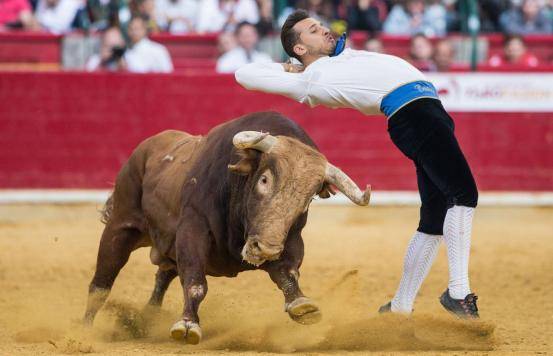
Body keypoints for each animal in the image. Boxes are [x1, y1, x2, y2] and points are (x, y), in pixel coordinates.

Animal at [82, 112, 368, 344]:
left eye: (307, 199)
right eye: (264, 180)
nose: (265, 249)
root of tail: (146, 148)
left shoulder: (290, 240)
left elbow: (287, 274)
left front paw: (302, 305)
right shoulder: (193, 229)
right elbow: (195, 282)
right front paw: (187, 325)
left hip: (167, 245)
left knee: (163, 275)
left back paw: (147, 319)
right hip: (121, 226)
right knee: (101, 283)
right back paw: (85, 330)